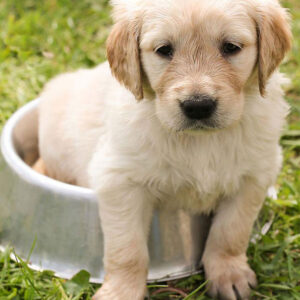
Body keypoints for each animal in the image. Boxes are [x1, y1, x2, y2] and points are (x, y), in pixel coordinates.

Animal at [36, 0, 292, 298]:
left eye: (230, 47)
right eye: (164, 50)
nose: (198, 106)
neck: (200, 141)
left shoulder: (255, 174)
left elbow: (230, 232)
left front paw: (229, 274)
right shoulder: (119, 180)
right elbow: (127, 248)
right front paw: (122, 291)